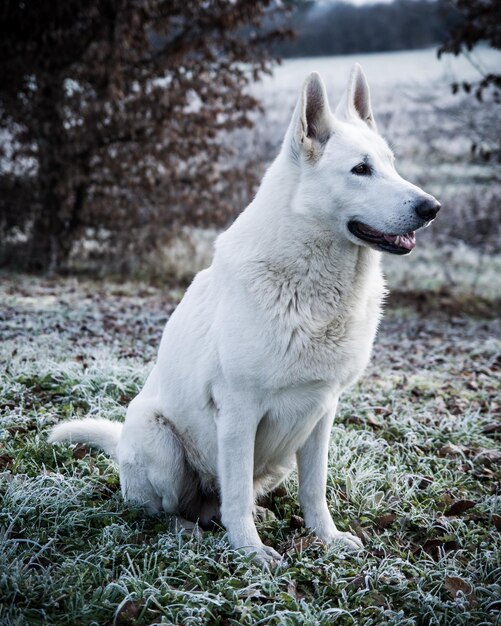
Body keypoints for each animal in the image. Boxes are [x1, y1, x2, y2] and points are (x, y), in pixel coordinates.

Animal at [50, 67, 440, 564]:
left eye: (391, 164)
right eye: (361, 170)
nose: (431, 208)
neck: (311, 283)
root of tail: (120, 448)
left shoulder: (323, 410)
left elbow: (314, 489)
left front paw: (326, 538)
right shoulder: (239, 410)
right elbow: (234, 493)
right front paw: (250, 552)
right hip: (158, 438)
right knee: (162, 510)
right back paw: (188, 530)